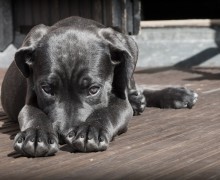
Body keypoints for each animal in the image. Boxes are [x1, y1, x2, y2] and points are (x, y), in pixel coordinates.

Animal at [0, 16, 198, 158]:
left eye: (93, 89)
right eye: (47, 89)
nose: (64, 135)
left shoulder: (120, 102)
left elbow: (107, 111)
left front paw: (90, 130)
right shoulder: (30, 99)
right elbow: (33, 114)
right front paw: (36, 135)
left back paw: (175, 95)